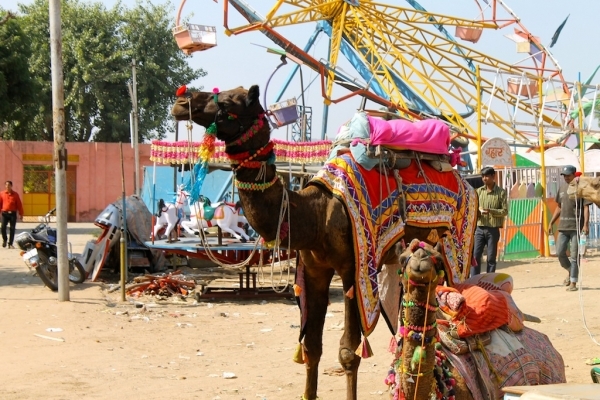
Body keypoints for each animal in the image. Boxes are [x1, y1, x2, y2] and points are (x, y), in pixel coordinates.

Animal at [171, 84, 476, 400]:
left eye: (230, 101)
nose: (181, 100)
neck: (314, 214)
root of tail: (465, 180)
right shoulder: (314, 270)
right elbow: (311, 346)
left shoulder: (355, 271)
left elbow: (348, 352)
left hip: (455, 249)